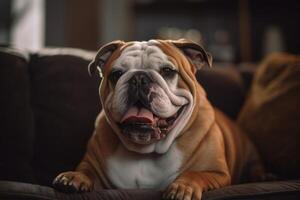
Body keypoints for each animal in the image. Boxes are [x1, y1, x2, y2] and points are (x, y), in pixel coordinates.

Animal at [52, 39, 264, 200]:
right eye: (116, 74)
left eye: (168, 71)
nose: (138, 78)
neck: (146, 151)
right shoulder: (94, 165)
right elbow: (86, 170)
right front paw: (73, 177)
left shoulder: (216, 172)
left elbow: (195, 174)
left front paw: (182, 188)